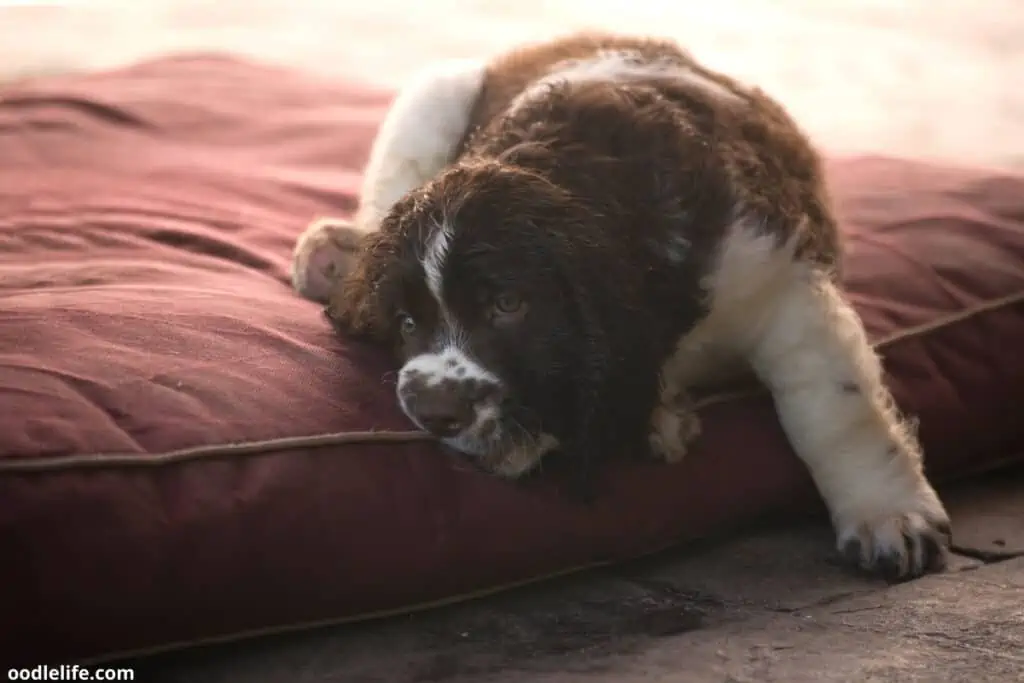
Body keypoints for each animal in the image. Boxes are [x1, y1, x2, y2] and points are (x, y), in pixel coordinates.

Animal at [294, 31, 950, 581]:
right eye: (407, 324)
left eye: (509, 304)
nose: (434, 412)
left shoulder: (781, 279)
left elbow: (835, 410)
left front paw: (889, 518)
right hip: (433, 98)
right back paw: (335, 253)